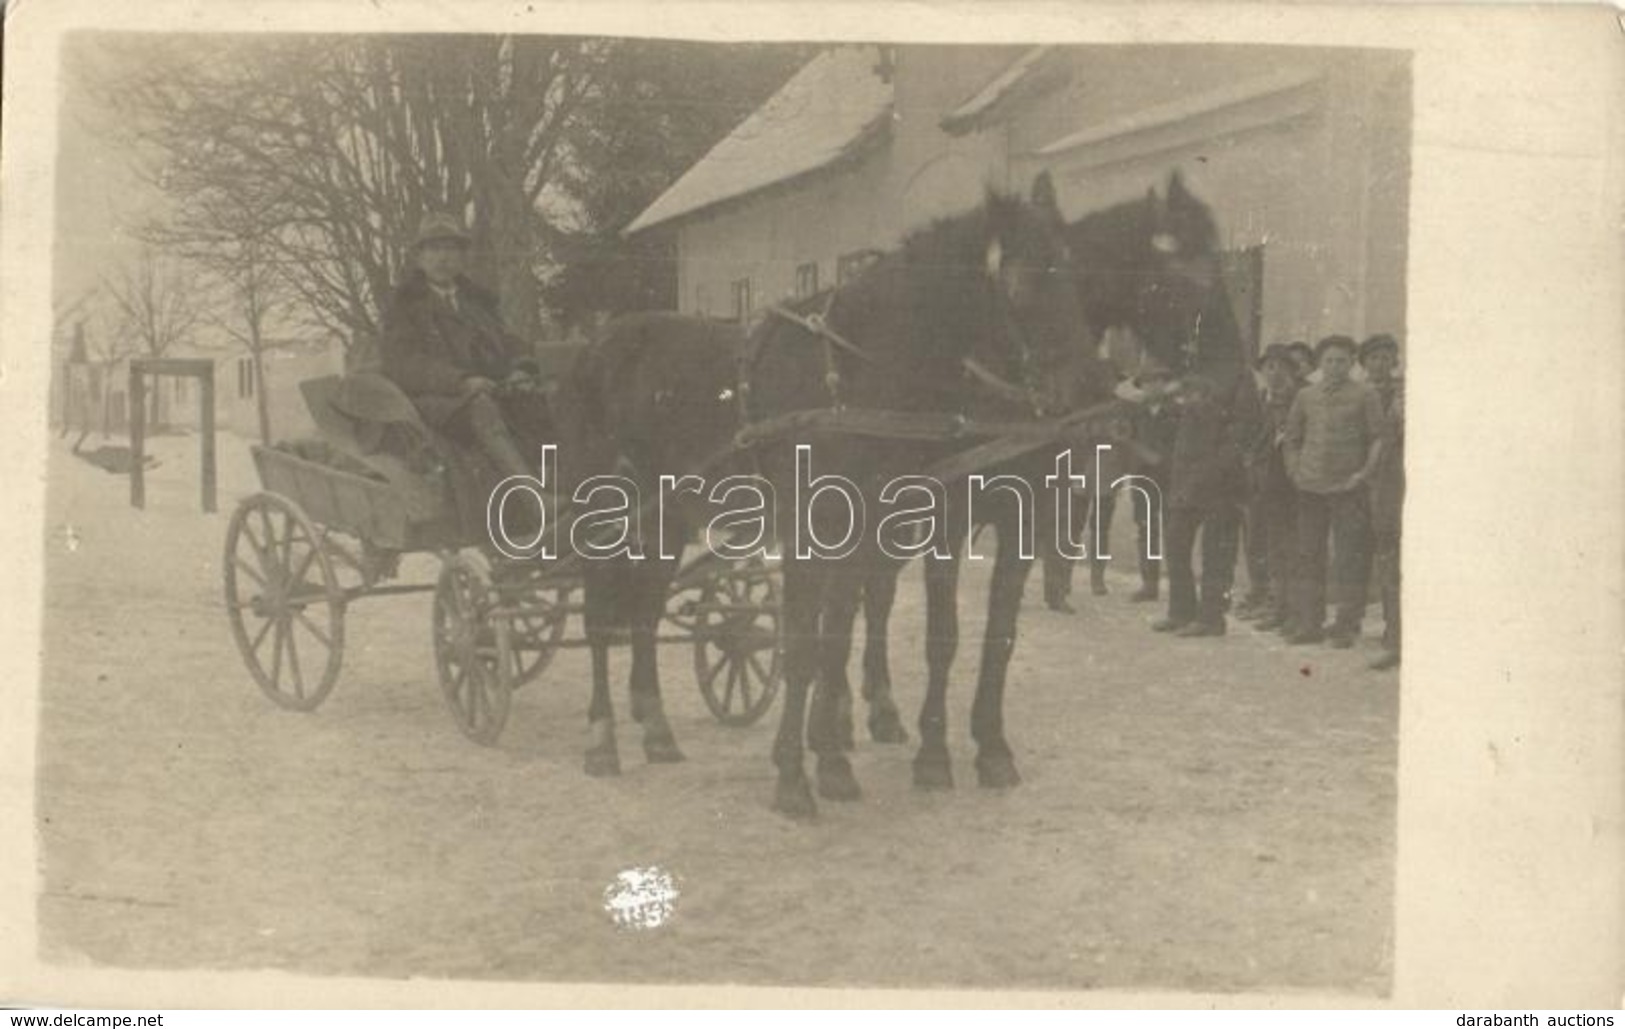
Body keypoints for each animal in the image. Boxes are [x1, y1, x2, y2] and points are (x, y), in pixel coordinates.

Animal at [744, 176, 1098, 819]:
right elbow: (928, 635)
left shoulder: (1023, 518)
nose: (1089, 394)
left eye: (1075, 272)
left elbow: (998, 636)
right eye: (1023, 283)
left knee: (868, 604)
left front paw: (992, 748)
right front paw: (928, 759)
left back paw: (859, 718)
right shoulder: (925, 519)